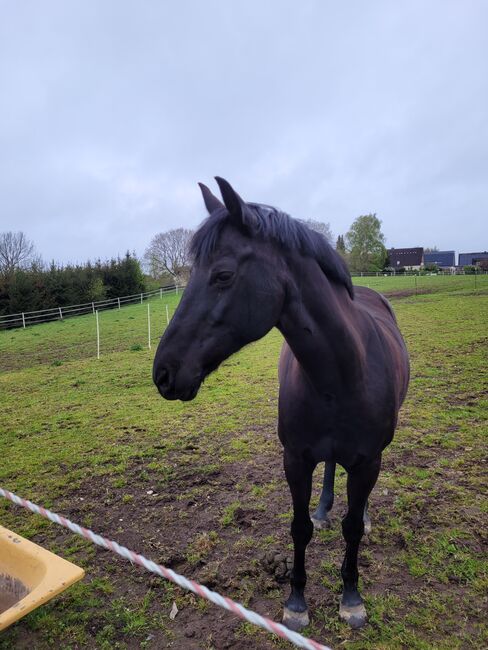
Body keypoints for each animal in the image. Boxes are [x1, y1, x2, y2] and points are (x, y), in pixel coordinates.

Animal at [153, 177, 412, 628]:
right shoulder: (296, 459)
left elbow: (352, 530)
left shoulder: (368, 461)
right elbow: (298, 528)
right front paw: (296, 602)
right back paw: (323, 509)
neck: (343, 375)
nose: (163, 373)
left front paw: (351, 597)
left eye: (223, 275)